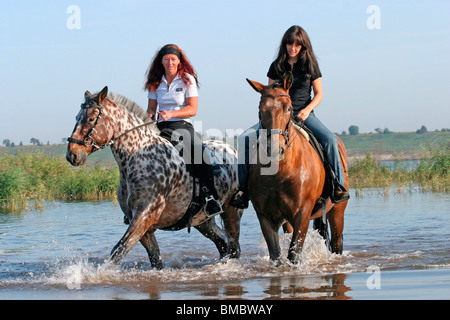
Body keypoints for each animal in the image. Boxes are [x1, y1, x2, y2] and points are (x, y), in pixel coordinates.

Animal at [66, 86, 243, 268]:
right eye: (77, 117)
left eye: (91, 119)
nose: (72, 154)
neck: (136, 155)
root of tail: (233, 150)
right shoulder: (141, 223)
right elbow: (154, 259)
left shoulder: (145, 214)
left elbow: (118, 250)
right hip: (202, 220)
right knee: (222, 242)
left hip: (231, 210)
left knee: (233, 246)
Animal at [246, 78, 348, 264]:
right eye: (260, 110)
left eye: (288, 108)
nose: (275, 149)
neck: (279, 173)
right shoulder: (265, 217)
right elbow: (276, 256)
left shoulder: (302, 213)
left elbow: (294, 255)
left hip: (337, 211)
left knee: (337, 244)